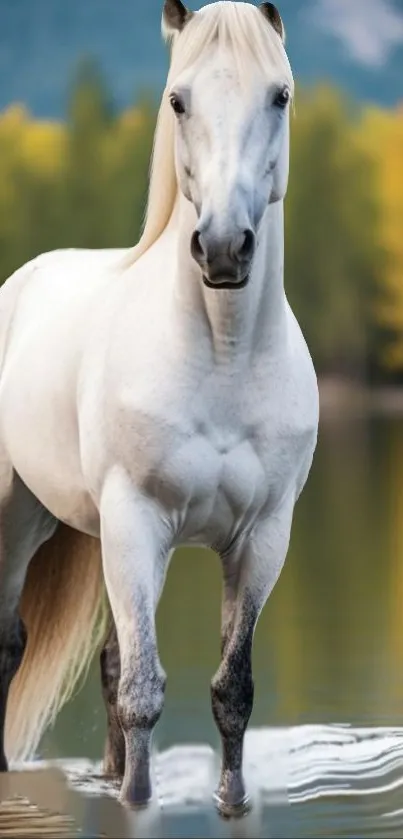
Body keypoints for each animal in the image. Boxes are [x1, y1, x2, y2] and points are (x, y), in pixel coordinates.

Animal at [0, 0, 320, 820]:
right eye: (178, 100)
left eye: (280, 95)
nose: (224, 248)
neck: (222, 356)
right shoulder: (138, 522)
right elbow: (145, 690)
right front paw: (139, 804)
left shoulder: (262, 539)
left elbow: (230, 688)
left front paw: (230, 803)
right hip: (23, 519)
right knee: (13, 645)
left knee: (110, 661)